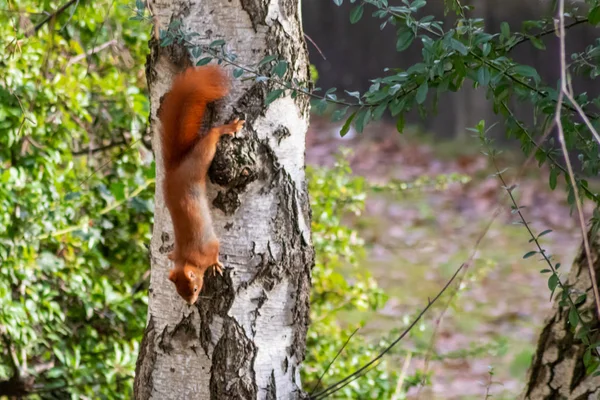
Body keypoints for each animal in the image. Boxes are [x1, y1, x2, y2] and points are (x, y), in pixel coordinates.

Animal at [159, 65, 246, 304]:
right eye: (180, 293)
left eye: (195, 288)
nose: (191, 303)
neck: (188, 259)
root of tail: (175, 167)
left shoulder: (209, 248)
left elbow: (215, 253)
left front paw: (216, 265)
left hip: (202, 156)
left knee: (212, 135)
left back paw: (228, 127)